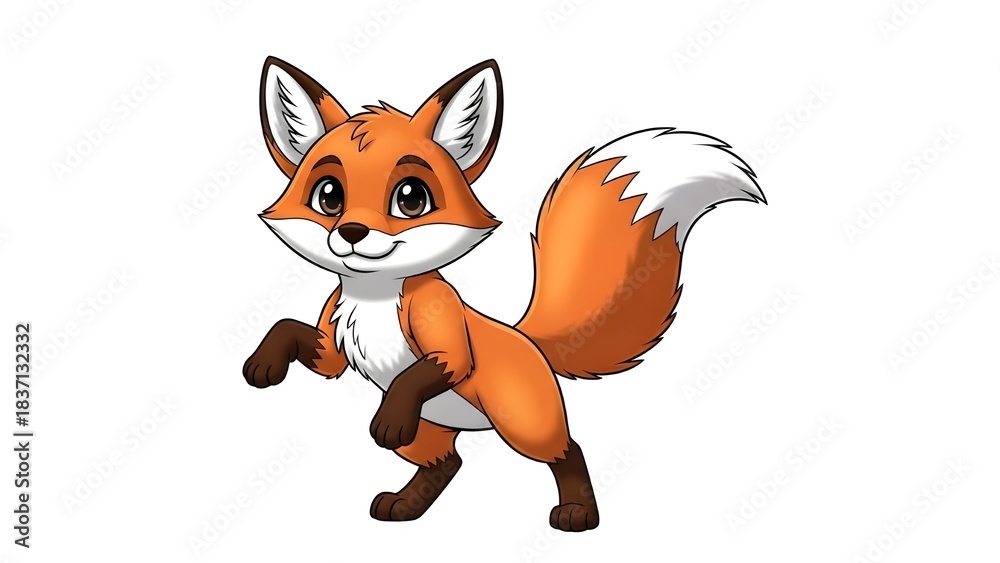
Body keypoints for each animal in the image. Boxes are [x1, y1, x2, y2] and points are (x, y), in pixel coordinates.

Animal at [243, 56, 765, 532]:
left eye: (411, 198)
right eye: (329, 195)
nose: (352, 232)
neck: (373, 300)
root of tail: (529, 341)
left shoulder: (440, 327)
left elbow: (429, 369)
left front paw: (386, 412)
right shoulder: (332, 337)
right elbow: (290, 331)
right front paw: (263, 364)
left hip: (521, 423)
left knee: (568, 450)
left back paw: (578, 514)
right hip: (427, 432)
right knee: (448, 463)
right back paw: (405, 507)